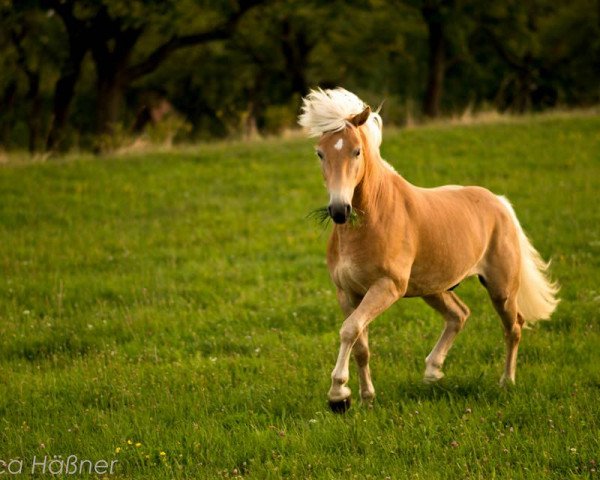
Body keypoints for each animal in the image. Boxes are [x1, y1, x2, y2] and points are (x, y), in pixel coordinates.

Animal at [298, 87, 560, 412]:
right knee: (460, 314)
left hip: (501, 289)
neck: (372, 219)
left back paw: (506, 383)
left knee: (514, 327)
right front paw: (365, 398)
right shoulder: (347, 293)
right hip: (435, 288)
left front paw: (338, 395)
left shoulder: (387, 287)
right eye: (320, 153)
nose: (339, 210)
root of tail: (499, 203)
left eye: (356, 151)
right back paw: (432, 372)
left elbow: (349, 330)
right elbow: (360, 343)